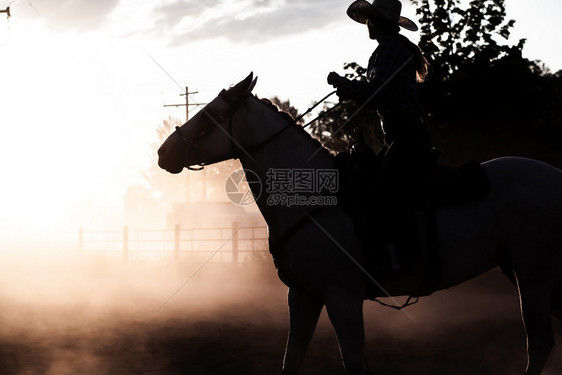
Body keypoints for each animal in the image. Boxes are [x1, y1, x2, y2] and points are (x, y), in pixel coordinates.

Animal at [156, 72, 560, 374]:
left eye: (210, 114)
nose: (163, 152)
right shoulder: (303, 296)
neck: (313, 198)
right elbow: (291, 361)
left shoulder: (342, 298)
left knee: (539, 343)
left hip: (533, 272)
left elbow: (354, 363)